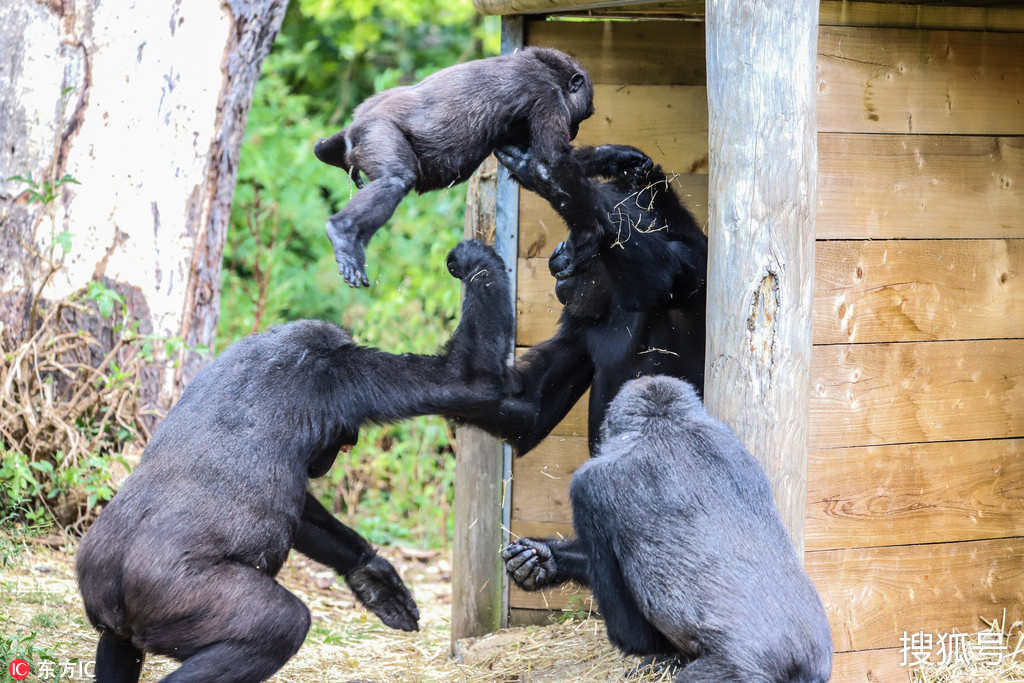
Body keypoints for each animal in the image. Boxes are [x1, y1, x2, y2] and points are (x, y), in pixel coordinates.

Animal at [75, 240, 512, 683]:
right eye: (343, 442)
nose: (332, 458)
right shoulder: (349, 376)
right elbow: (465, 378)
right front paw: (478, 262)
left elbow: (304, 514)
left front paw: (368, 571)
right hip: (173, 594)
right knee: (279, 625)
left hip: (100, 586)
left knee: (117, 641)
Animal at [315, 44, 598, 286]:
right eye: (582, 116)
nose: (575, 130)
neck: (545, 68)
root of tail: (358, 124)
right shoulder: (548, 97)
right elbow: (549, 165)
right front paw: (588, 236)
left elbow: (535, 171)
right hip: (378, 129)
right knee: (394, 179)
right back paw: (343, 236)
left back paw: (329, 152)